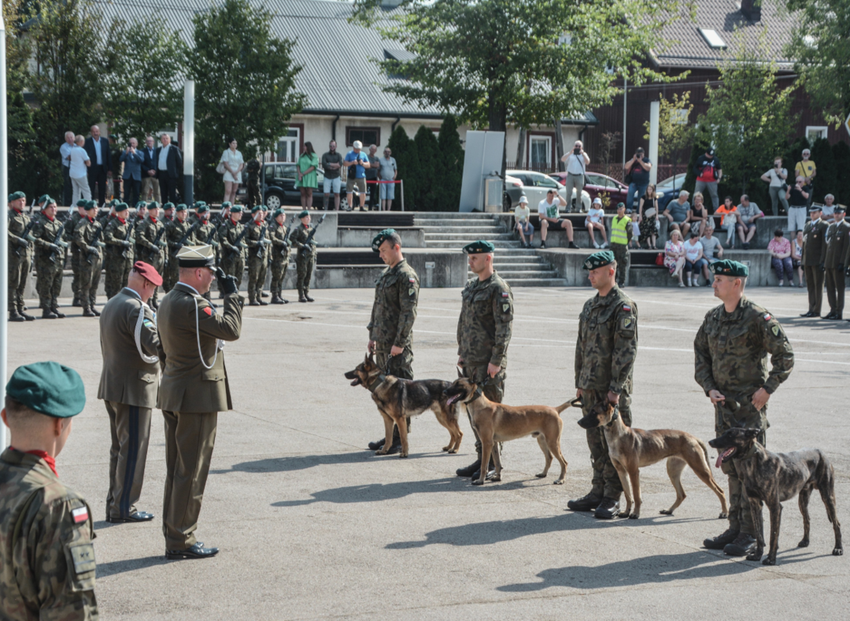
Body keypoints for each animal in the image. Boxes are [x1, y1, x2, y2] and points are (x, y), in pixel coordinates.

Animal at [440, 372, 572, 484]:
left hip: (552, 442)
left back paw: (560, 479)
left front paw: (480, 480)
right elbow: (498, 463)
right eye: (453, 382)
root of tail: (555, 409)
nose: (444, 392)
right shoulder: (494, 443)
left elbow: (484, 465)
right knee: (549, 457)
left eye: (459, 384)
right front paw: (498, 477)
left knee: (564, 462)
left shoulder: (486, 443)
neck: (480, 405)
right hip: (542, 440)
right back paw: (543, 474)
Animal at [576, 398, 728, 520]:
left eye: (594, 412)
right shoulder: (621, 471)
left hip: (700, 469)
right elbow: (628, 495)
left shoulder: (633, 472)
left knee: (720, 491)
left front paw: (635, 514)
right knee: (681, 494)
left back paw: (724, 512)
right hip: (673, 471)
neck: (617, 436)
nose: (578, 422)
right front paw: (626, 512)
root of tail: (693, 437)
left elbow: (636, 495)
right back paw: (669, 510)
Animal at [704, 428, 840, 564]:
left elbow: (773, 535)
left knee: (836, 523)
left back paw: (838, 548)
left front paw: (770, 559)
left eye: (730, 435)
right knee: (807, 519)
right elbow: (759, 534)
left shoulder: (775, 507)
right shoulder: (755, 504)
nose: (710, 442)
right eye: (724, 433)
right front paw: (757, 555)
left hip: (828, 497)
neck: (753, 463)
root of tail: (820, 451)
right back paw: (805, 541)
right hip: (803, 500)